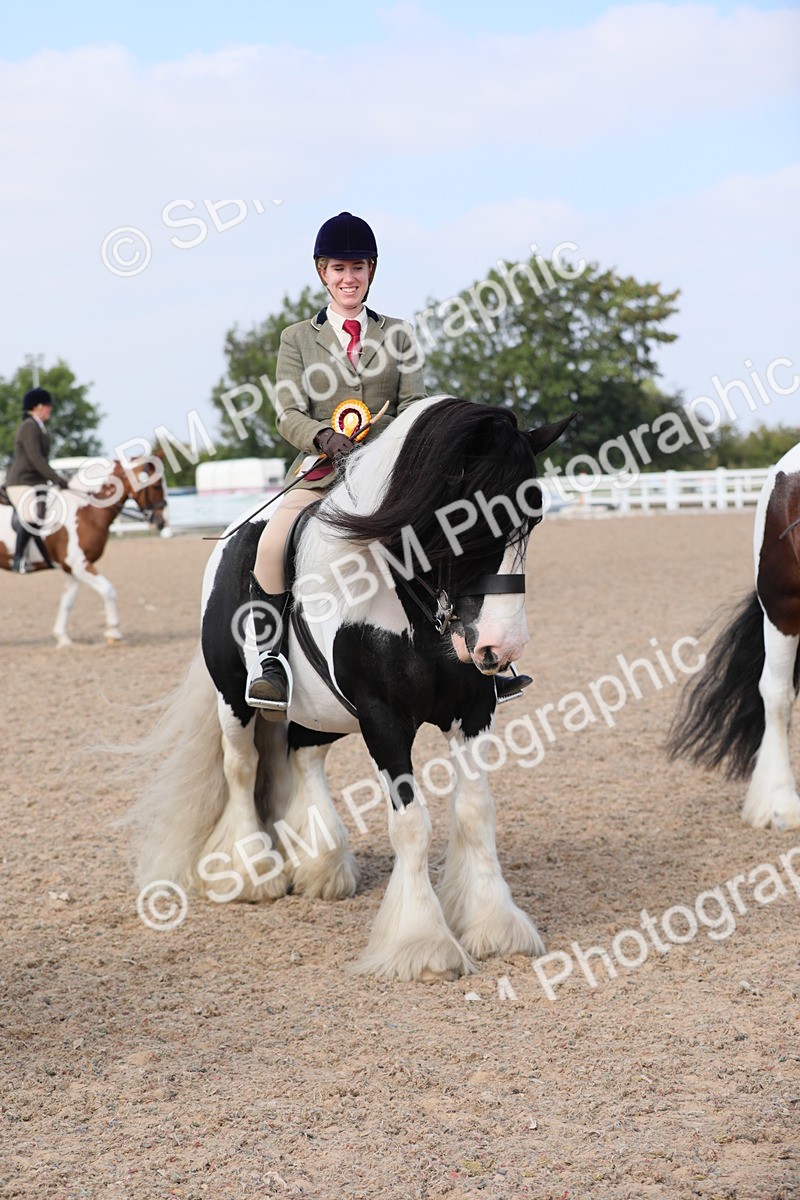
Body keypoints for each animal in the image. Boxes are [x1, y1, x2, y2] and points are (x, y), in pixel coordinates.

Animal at [0, 457, 168, 646]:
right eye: (156, 486)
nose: (162, 522)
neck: (86, 509)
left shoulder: (72, 570)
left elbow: (67, 602)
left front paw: (63, 638)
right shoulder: (79, 564)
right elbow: (108, 590)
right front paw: (114, 632)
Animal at [132, 396, 572, 981]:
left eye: (533, 516)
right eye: (464, 516)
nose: (502, 646)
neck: (408, 600)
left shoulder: (474, 710)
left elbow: (476, 812)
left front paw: (493, 925)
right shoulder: (383, 721)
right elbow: (411, 825)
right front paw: (421, 943)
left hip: (322, 713)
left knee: (301, 755)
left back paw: (322, 865)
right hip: (237, 702)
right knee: (242, 767)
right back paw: (252, 872)